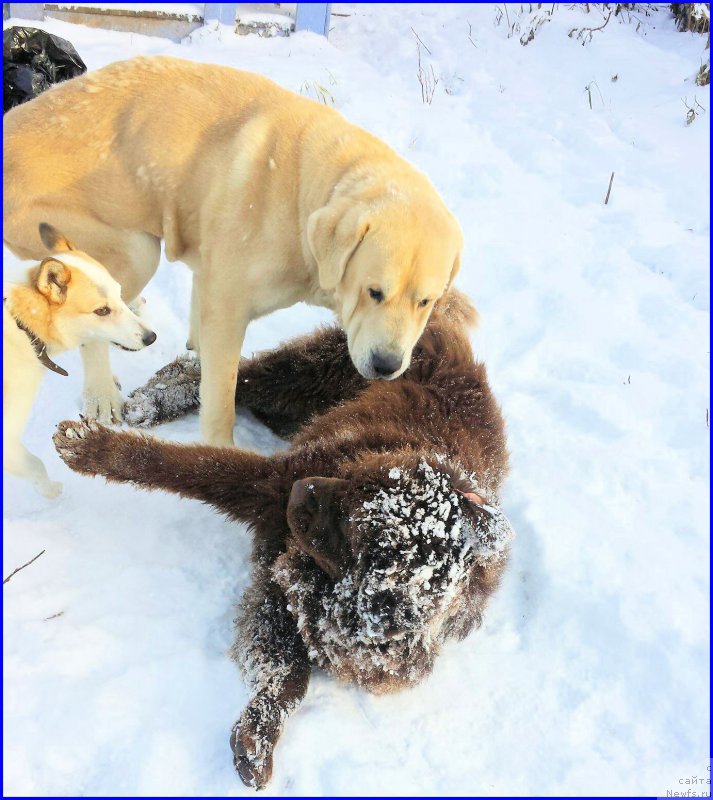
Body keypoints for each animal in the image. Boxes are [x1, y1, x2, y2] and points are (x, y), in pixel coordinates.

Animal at [4, 55, 462, 446]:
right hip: (129, 247)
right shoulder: (228, 308)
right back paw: (102, 391)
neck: (306, 193)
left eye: (425, 302)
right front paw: (219, 451)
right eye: (374, 292)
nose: (387, 366)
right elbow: (221, 396)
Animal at [54, 288, 512, 788]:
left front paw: (258, 735)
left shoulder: (284, 593)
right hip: (307, 379)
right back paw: (152, 403)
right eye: (358, 487)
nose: (301, 488)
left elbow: (290, 674)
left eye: (352, 533)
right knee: (228, 376)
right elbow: (176, 464)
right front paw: (89, 446)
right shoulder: (266, 485)